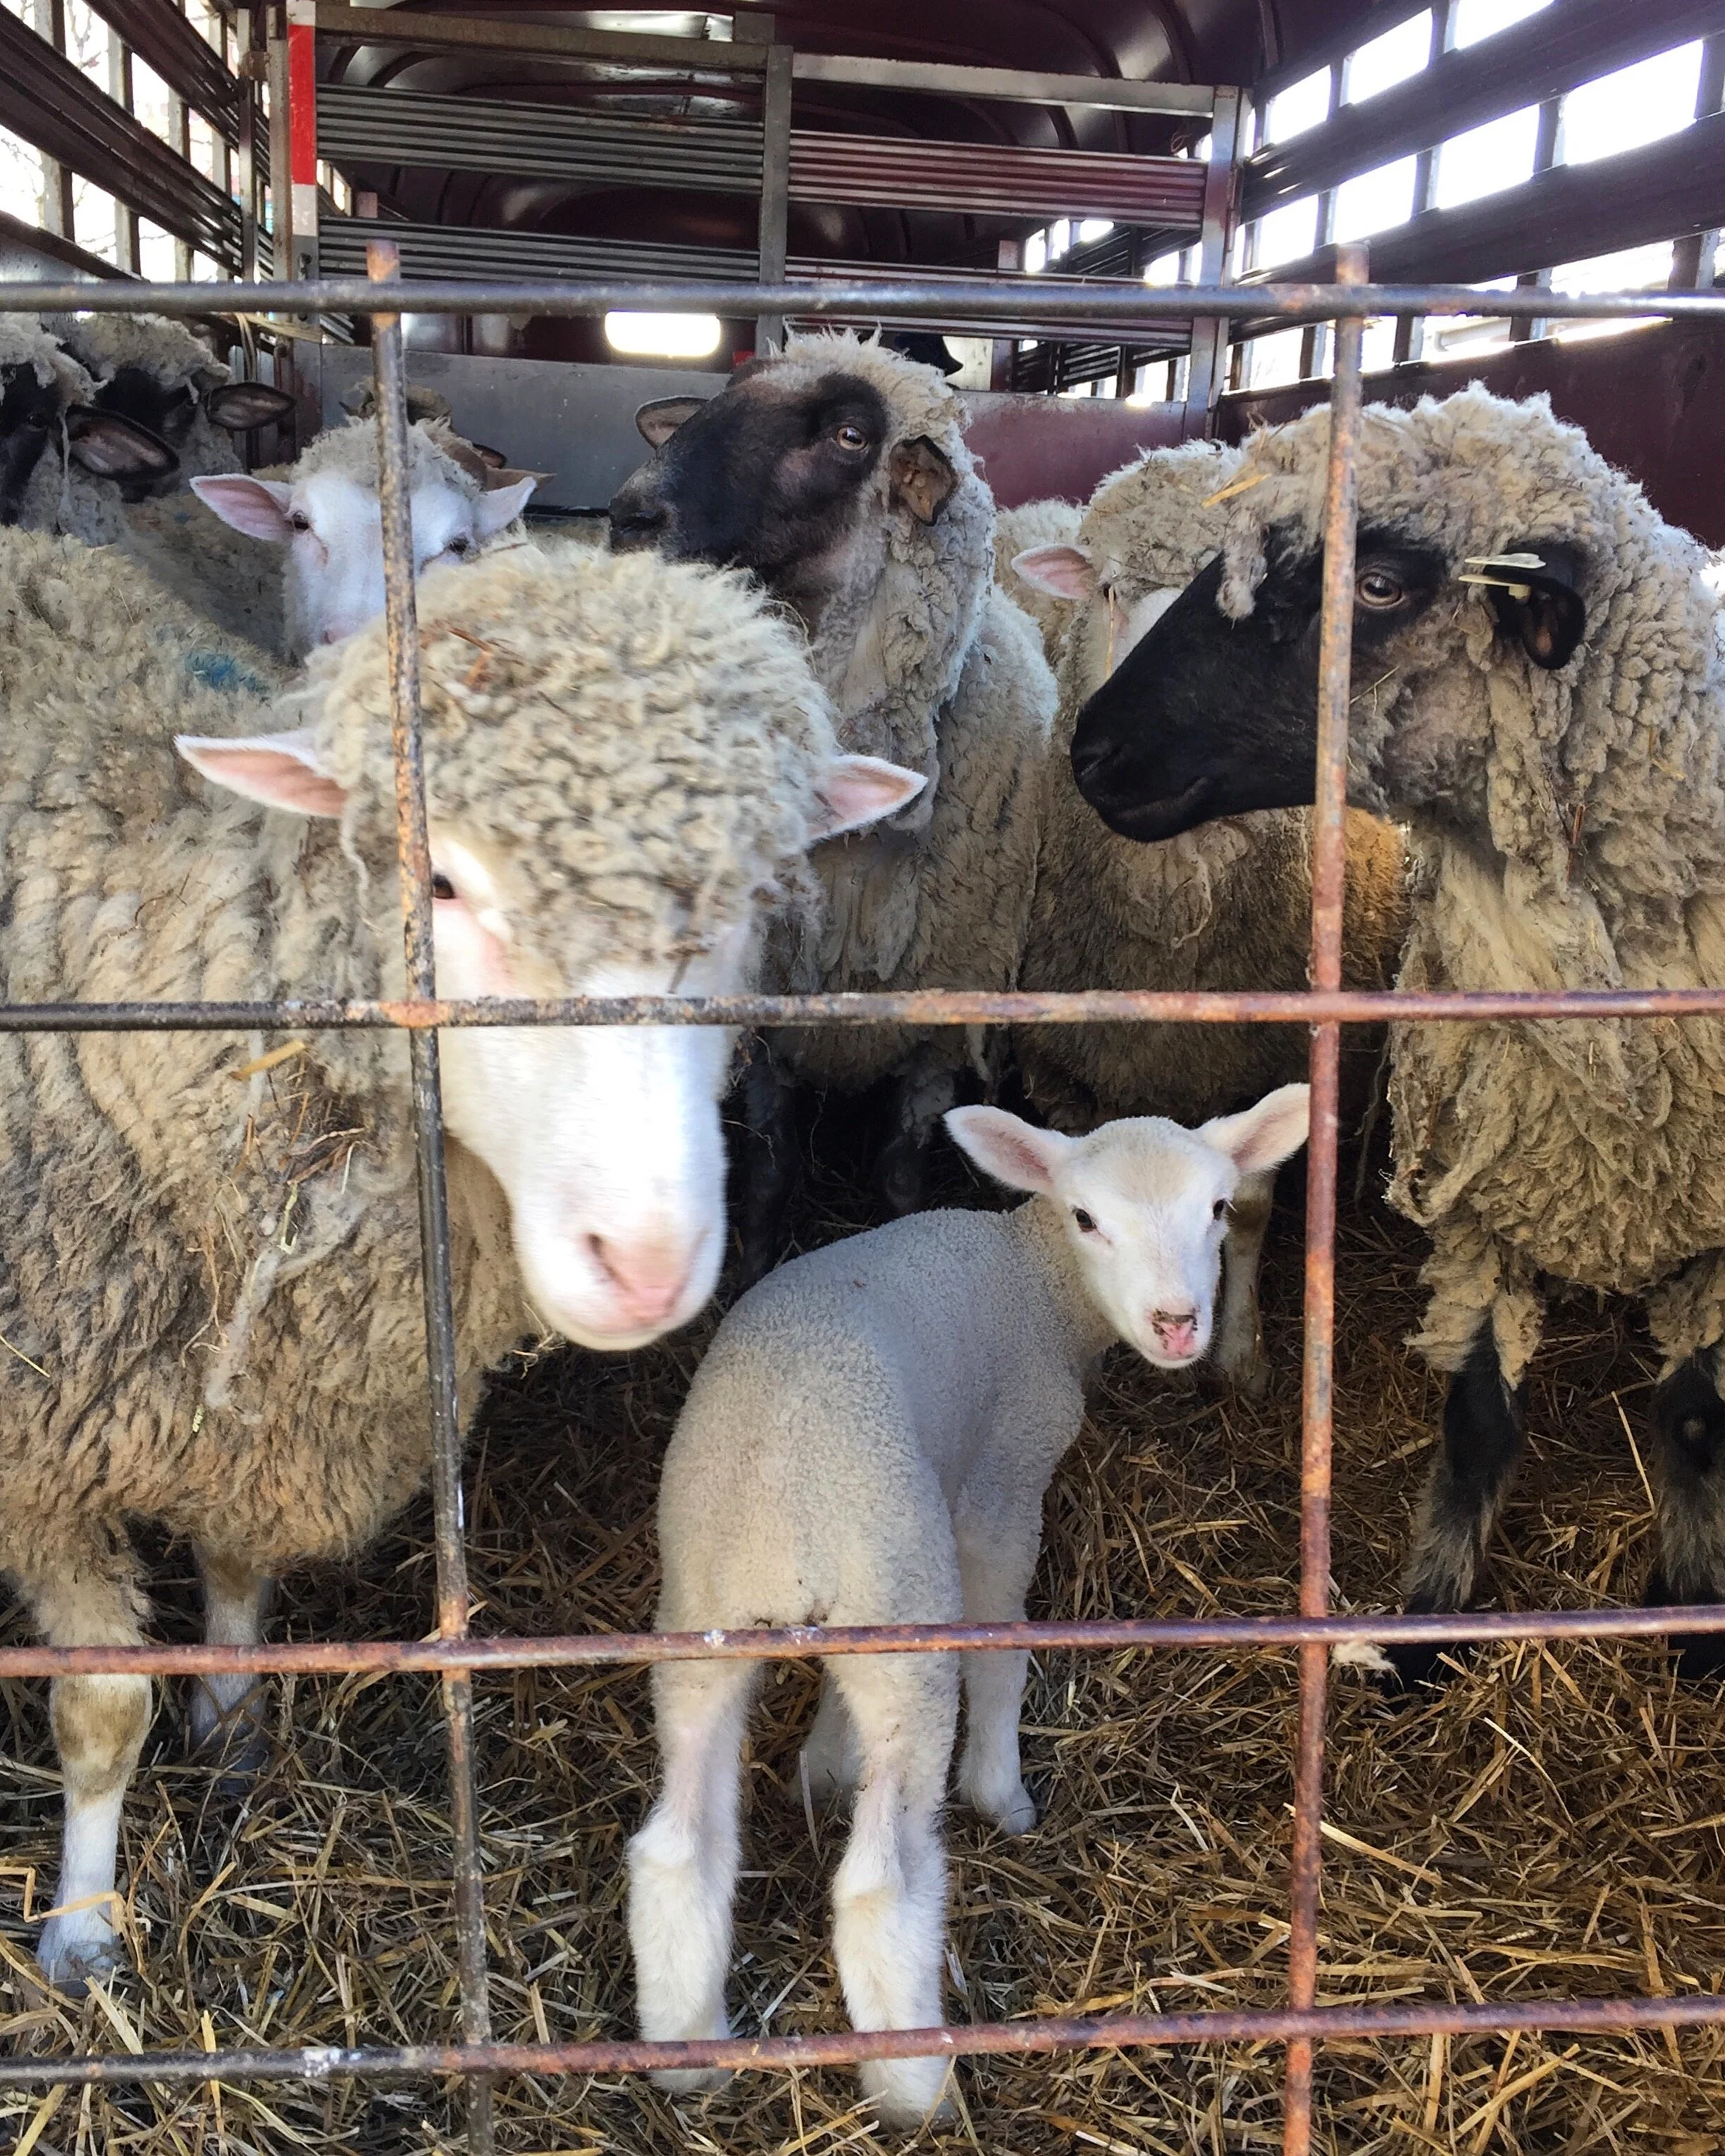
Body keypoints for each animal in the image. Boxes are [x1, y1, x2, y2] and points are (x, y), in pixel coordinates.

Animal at [0, 528, 922, 1988]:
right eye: (437, 882)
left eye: (745, 900)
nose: (645, 1261)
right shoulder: (42, 1453)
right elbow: (99, 1711)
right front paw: (86, 1929)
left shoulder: (268, 1411)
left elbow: (237, 1576)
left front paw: (234, 1725)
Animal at [610, 332, 1058, 1258]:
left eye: (851, 435)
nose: (631, 517)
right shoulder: (770, 1006)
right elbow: (770, 1173)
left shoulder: (936, 1015)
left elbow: (900, 1178)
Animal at [628, 1083, 1311, 2126]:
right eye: (1087, 1218)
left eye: (1220, 1209)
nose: (1177, 1323)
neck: (1033, 1278)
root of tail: (785, 1515)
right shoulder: (1002, 1480)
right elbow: (1004, 1642)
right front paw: (1004, 1794)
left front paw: (825, 1765)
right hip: (898, 1608)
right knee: (883, 1882)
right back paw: (916, 2087)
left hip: (715, 1612)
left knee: (677, 1848)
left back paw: (687, 2057)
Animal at [1007, 441, 1409, 1392]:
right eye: (1109, 589)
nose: (1123, 753)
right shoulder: (1062, 1069)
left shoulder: (1266, 1064)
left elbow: (1252, 1212)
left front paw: (1241, 1356)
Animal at [1069, 383, 1725, 1683]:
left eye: (1376, 584)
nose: (1090, 752)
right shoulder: (1484, 1189)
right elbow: (1474, 1417)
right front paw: (1428, 1622)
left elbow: (1690, 1419)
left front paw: (1687, 1601)